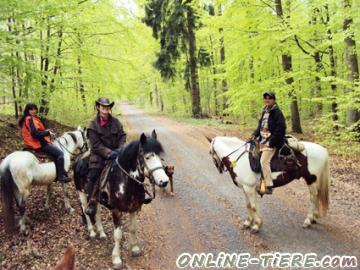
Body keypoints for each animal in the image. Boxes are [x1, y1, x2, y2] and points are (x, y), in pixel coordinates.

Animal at [73, 130, 170, 268]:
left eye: (160, 157)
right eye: (147, 157)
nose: (164, 181)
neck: (125, 181)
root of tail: (78, 159)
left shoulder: (134, 209)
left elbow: (133, 229)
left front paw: (134, 248)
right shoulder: (116, 211)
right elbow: (118, 235)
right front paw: (116, 258)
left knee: (97, 212)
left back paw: (101, 233)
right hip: (81, 193)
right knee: (86, 210)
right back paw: (92, 232)